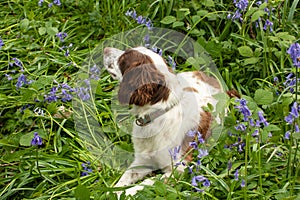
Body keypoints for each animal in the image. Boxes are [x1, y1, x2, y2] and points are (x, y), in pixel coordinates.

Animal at [103, 46, 223, 196]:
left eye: (123, 59)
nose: (105, 49)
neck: (155, 115)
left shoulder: (178, 169)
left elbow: (146, 184)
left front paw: (128, 193)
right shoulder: (142, 160)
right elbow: (124, 179)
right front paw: (112, 192)